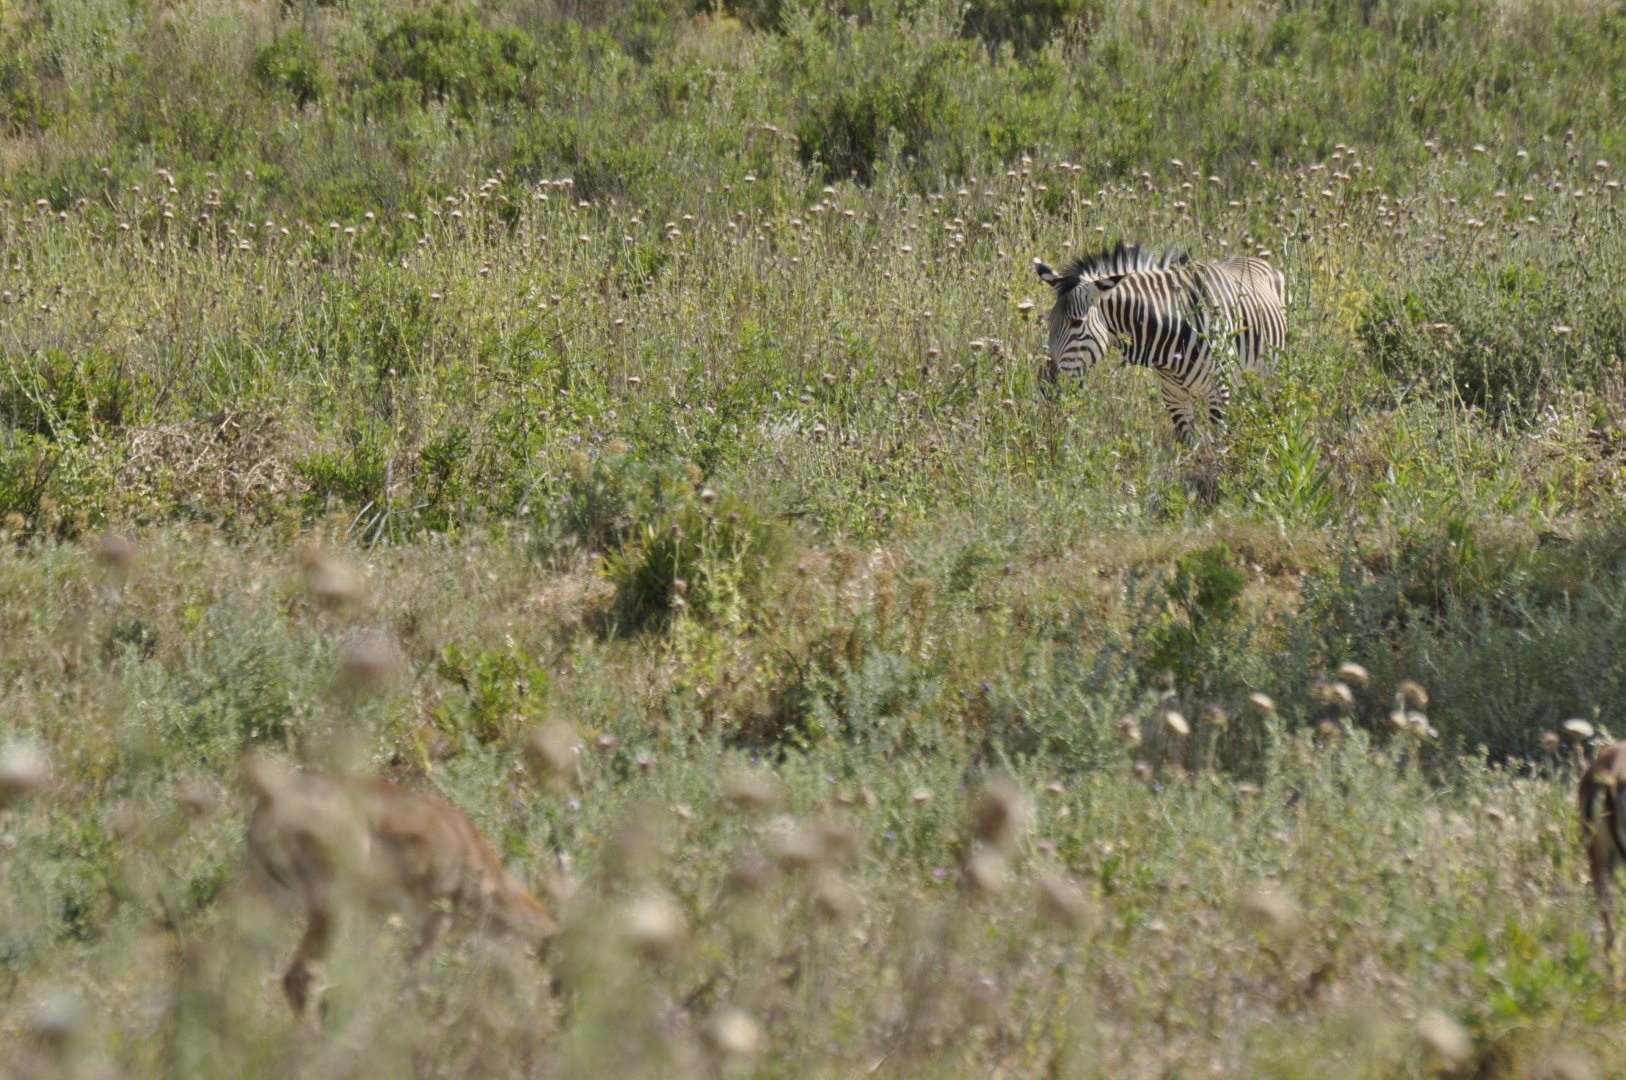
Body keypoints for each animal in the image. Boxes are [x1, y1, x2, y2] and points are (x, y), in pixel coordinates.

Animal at [1033, 241, 1286, 444]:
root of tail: (1252, 257)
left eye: (1076, 323)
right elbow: (1189, 445)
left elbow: (1218, 446)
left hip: (1269, 378)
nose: (1046, 385)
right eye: (1049, 322)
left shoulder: (1219, 392)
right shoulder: (1174, 397)